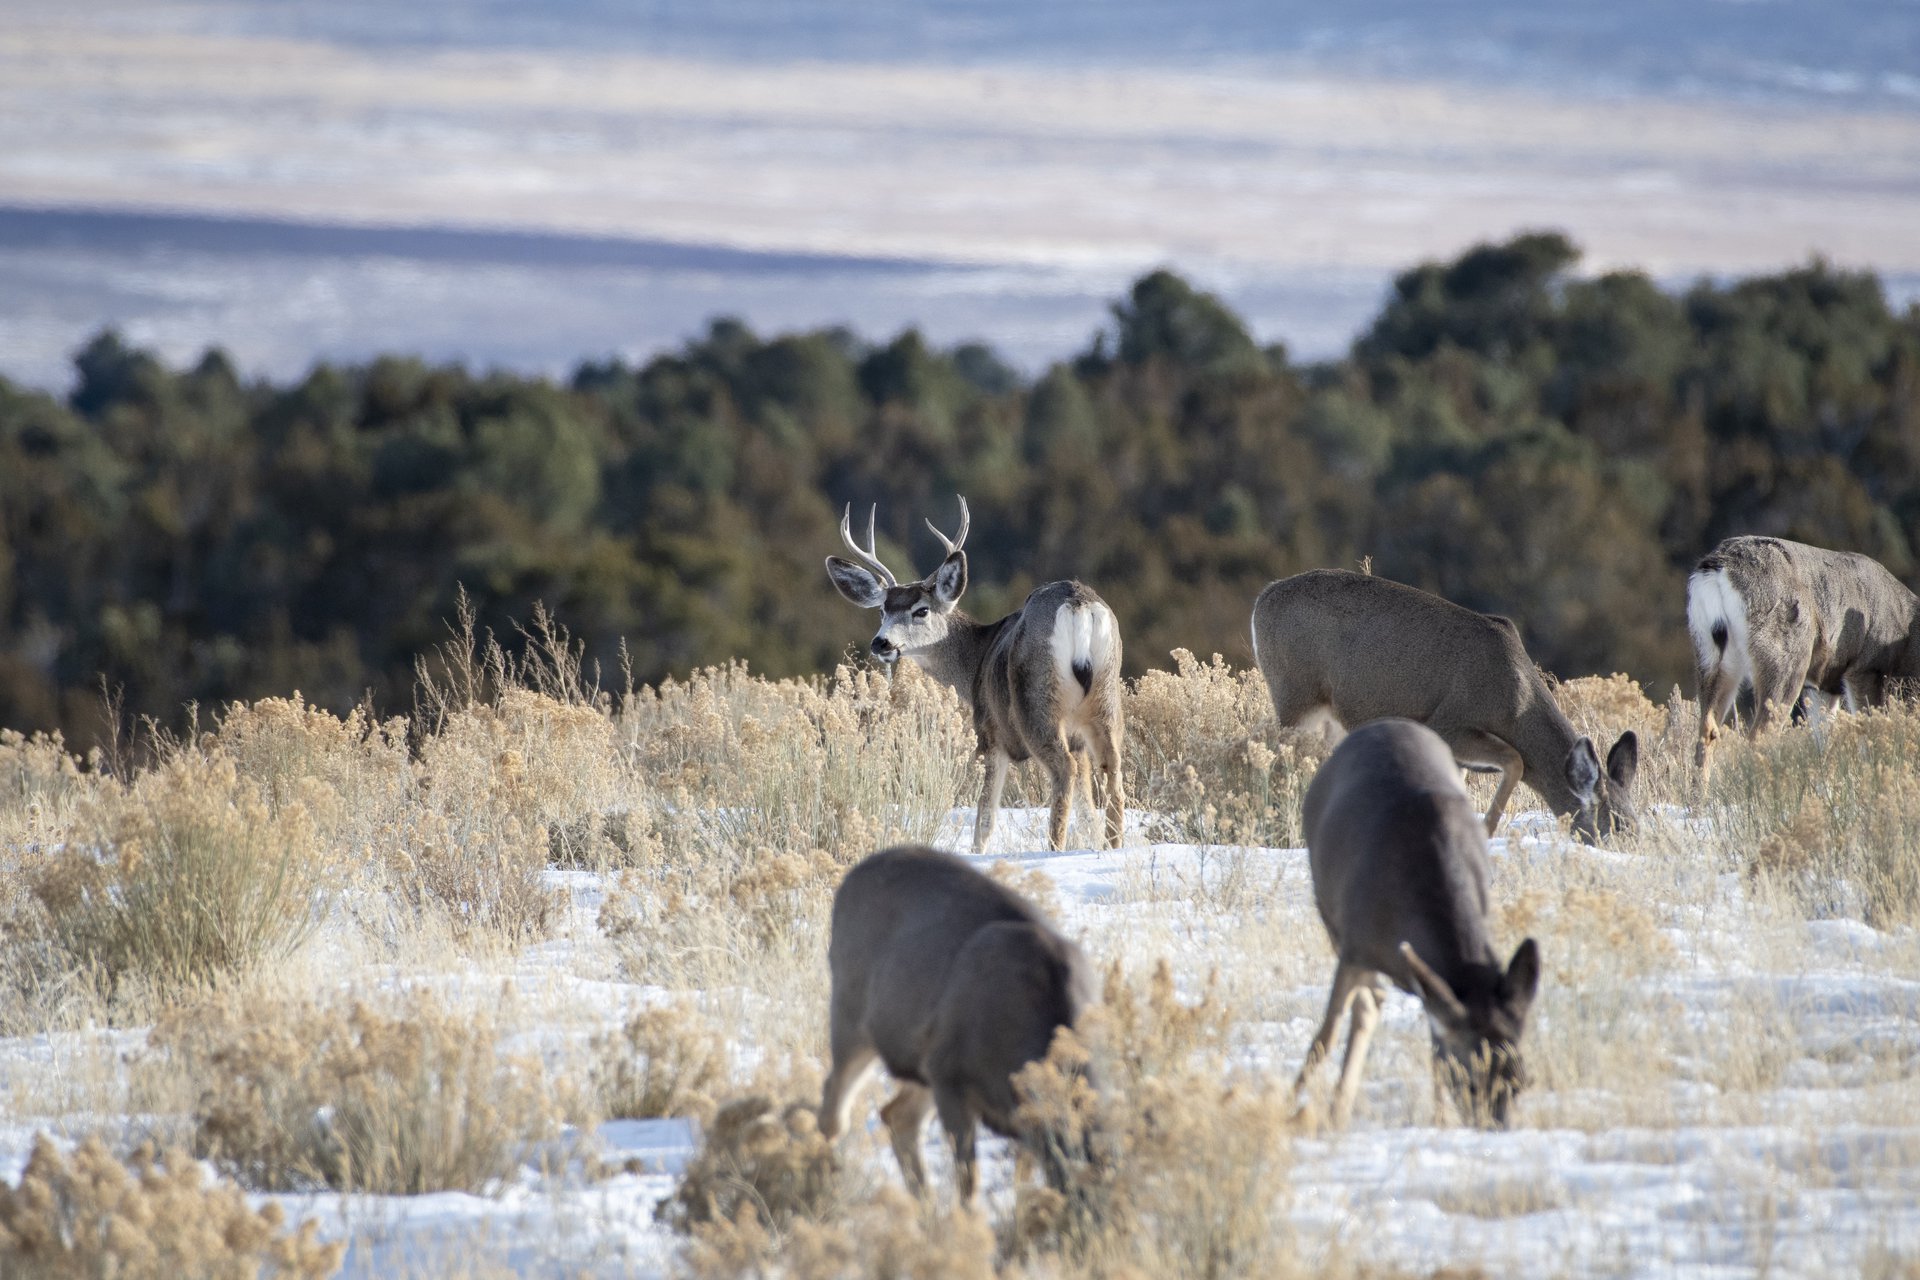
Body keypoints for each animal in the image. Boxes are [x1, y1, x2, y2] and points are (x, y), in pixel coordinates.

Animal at [817, 845, 1096, 1203]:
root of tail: (855, 873)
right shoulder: (950, 1077)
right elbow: (968, 1182)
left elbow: (1021, 1182)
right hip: (853, 1019)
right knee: (835, 1107)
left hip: (919, 1059)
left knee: (897, 1115)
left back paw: (924, 1207)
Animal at [825, 496, 1125, 853]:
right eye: (883, 610)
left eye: (921, 610)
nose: (881, 642)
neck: (977, 661)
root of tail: (1079, 606)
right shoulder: (1076, 738)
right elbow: (1087, 806)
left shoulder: (989, 731)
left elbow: (985, 818)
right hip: (1105, 696)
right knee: (1112, 769)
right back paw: (1112, 846)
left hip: (1035, 700)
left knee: (1064, 769)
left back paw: (1054, 848)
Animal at [1251, 569, 1637, 843]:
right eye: (1615, 827)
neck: (1517, 700)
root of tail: (1262, 598)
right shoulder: (1449, 723)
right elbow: (1515, 760)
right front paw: (1484, 833)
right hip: (1296, 695)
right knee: (1276, 755)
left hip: (1327, 717)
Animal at [1292, 718, 1542, 1129]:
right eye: (1469, 1079)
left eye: (1520, 1081)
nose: (1494, 1130)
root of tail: (1384, 724)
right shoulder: (1355, 946)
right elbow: (1326, 1034)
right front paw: (1287, 1104)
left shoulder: (1433, 981)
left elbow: (1434, 1046)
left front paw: (1439, 1121)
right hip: (1330, 913)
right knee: (1366, 1006)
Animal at [1689, 535, 1920, 783]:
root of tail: (1719, 566)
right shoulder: (1867, 668)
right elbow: (1869, 738)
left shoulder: (1823, 685)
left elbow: (1823, 747)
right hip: (1785, 659)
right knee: (1759, 736)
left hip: (1711, 654)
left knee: (1708, 731)